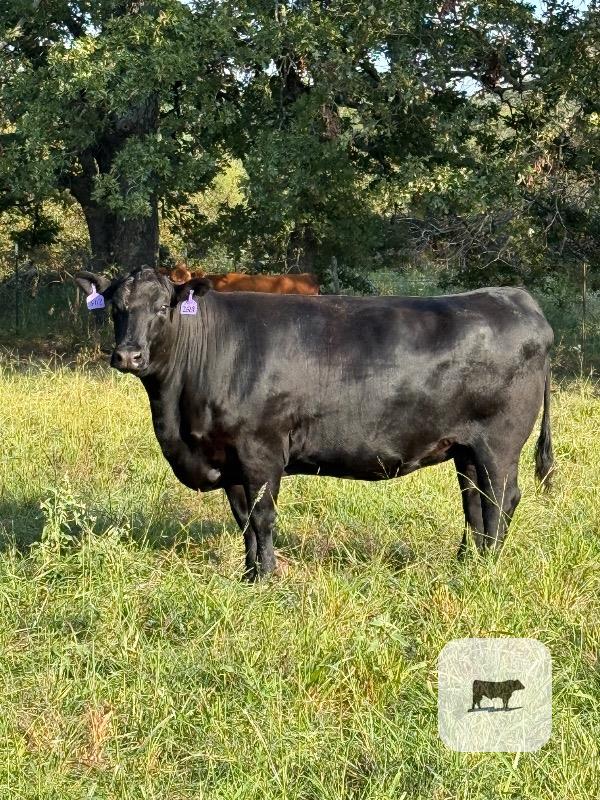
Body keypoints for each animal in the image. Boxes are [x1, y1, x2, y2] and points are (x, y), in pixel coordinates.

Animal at [75, 266, 554, 580]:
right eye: (116, 308)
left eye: (161, 306)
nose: (128, 355)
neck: (177, 413)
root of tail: (517, 298)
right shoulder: (227, 457)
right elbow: (242, 519)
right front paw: (248, 575)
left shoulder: (260, 449)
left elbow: (262, 516)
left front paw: (266, 578)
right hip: (465, 447)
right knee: (474, 501)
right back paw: (466, 563)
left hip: (499, 443)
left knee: (501, 500)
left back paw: (486, 568)